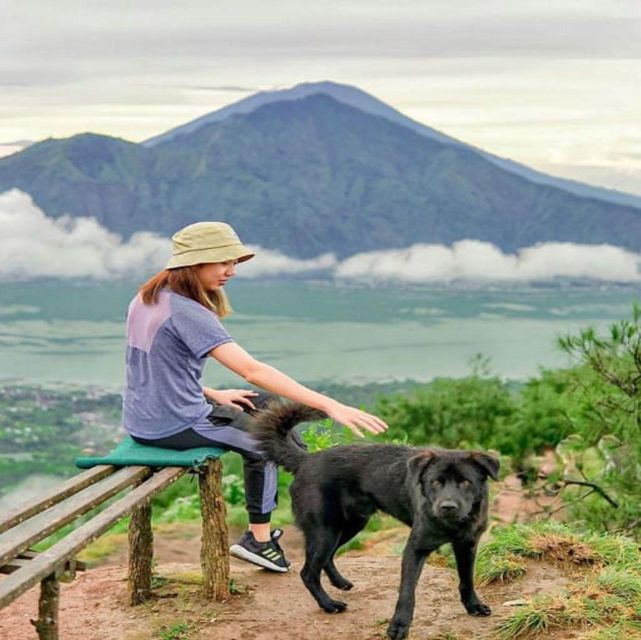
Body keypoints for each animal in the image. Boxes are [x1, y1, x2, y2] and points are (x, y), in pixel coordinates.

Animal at [250, 402, 500, 636]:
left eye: (465, 482)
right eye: (435, 482)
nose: (447, 507)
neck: (453, 524)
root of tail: (306, 460)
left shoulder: (467, 545)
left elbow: (467, 579)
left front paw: (474, 606)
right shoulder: (415, 549)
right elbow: (407, 592)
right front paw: (399, 626)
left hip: (350, 525)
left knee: (325, 558)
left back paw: (339, 583)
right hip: (326, 530)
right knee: (308, 572)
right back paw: (329, 604)